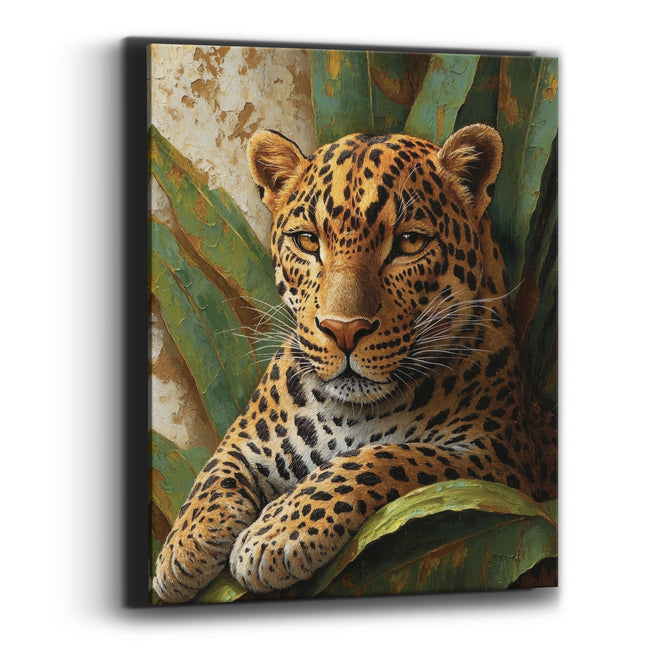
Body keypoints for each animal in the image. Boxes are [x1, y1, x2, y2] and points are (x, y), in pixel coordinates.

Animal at [152, 124, 558, 603]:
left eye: (409, 242)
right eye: (308, 241)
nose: (343, 330)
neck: (348, 413)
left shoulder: (499, 461)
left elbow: (386, 457)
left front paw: (276, 533)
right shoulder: (249, 438)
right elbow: (216, 472)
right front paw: (182, 549)